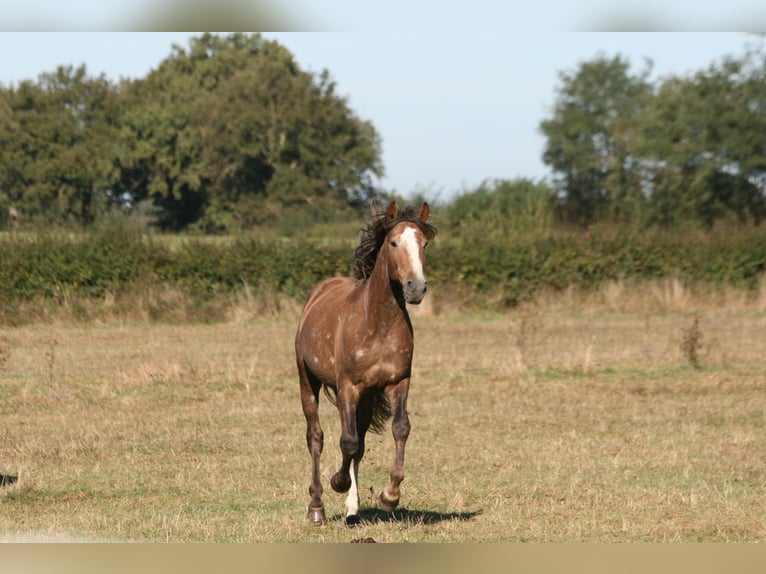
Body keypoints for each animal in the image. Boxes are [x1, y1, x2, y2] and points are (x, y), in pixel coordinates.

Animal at [296, 201, 438, 528]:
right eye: (394, 242)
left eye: (424, 244)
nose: (415, 288)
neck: (377, 323)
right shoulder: (348, 386)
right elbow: (346, 441)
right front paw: (338, 482)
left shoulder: (397, 383)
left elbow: (400, 429)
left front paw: (389, 496)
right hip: (308, 380)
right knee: (316, 437)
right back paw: (317, 507)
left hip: (368, 397)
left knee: (358, 442)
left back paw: (352, 510)